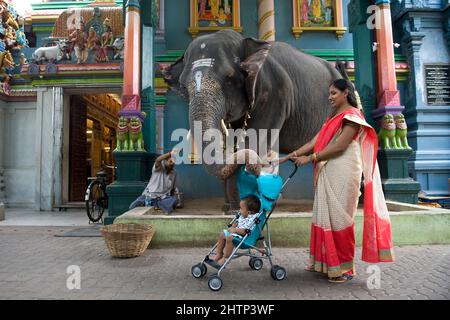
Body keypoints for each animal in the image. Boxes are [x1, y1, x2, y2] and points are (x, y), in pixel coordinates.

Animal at [164, 30, 344, 212]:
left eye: (229, 79)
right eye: (183, 86)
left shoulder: (274, 94)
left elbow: (253, 141)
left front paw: (239, 207)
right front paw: (229, 208)